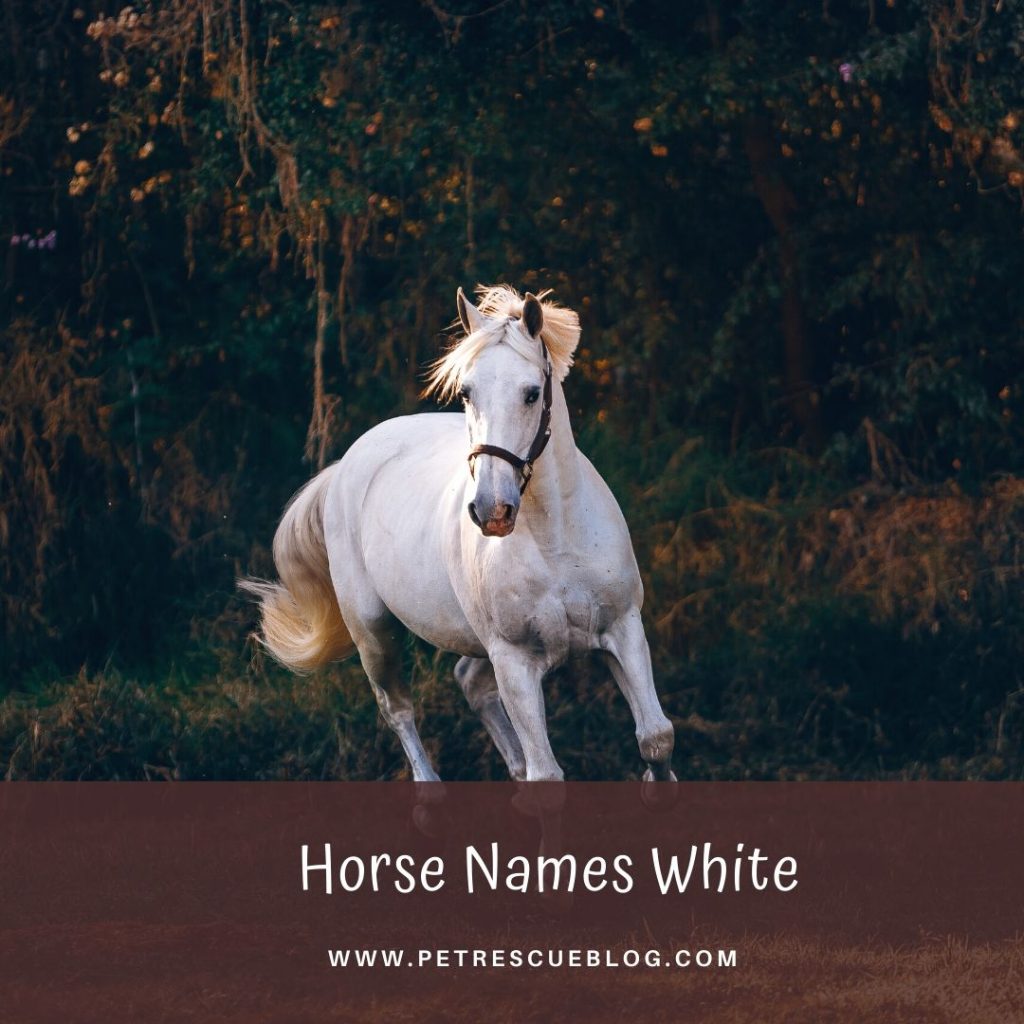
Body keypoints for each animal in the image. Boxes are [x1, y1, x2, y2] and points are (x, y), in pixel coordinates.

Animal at [242, 285, 676, 792]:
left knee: (469, 680)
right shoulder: (514, 661)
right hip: (374, 633)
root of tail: (346, 464)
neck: (555, 540)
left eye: (532, 394)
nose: (492, 510)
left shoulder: (623, 629)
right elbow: (546, 773)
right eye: (467, 392)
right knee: (398, 709)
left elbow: (655, 739)